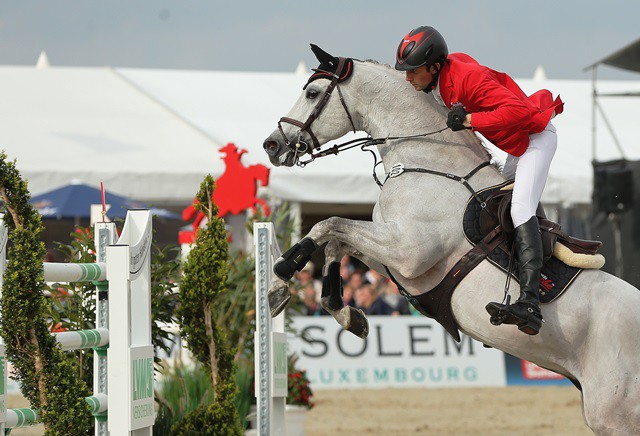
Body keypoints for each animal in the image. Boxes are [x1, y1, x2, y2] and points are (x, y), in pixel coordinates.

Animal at [262, 46, 636, 434]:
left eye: (312, 93)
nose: (271, 145)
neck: (427, 162)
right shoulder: (399, 260)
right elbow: (337, 241)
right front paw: (348, 314)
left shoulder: (408, 251)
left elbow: (327, 225)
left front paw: (279, 280)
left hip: (613, 413)